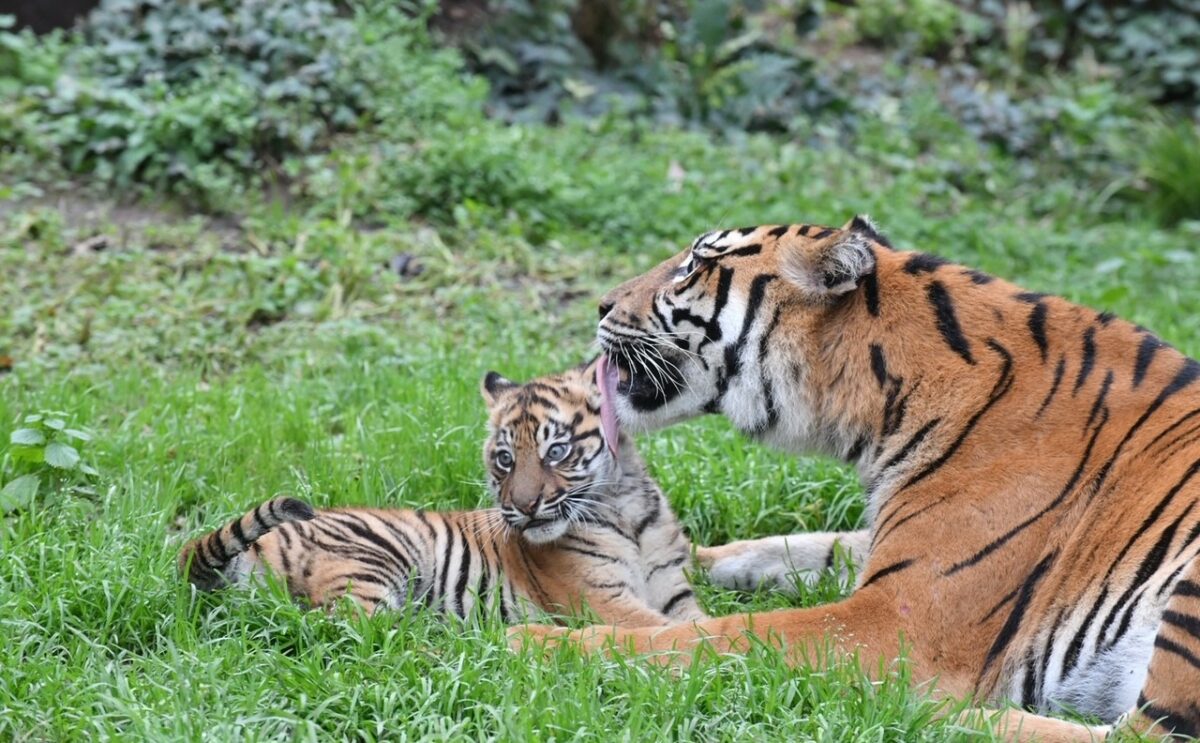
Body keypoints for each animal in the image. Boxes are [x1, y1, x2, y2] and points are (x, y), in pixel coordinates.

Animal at [178, 360, 705, 627]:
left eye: (556, 451)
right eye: (505, 459)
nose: (523, 507)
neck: (626, 510)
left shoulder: (674, 588)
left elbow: (688, 617)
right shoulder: (601, 599)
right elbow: (672, 630)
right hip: (374, 559)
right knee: (354, 630)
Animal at [511, 216, 1200, 742]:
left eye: (694, 266)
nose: (600, 304)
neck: (878, 412)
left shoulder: (897, 619)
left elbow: (721, 634)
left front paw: (533, 641)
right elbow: (784, 548)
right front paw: (683, 557)